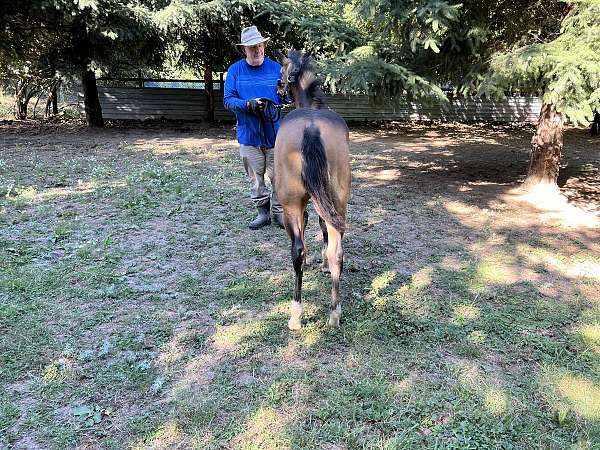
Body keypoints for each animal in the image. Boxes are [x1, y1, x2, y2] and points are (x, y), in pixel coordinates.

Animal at [274, 50, 352, 330]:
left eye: (281, 71)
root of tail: (310, 127)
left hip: (291, 204)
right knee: (337, 252)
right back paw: (335, 312)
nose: (279, 90)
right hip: (339, 202)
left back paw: (295, 315)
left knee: (296, 251)